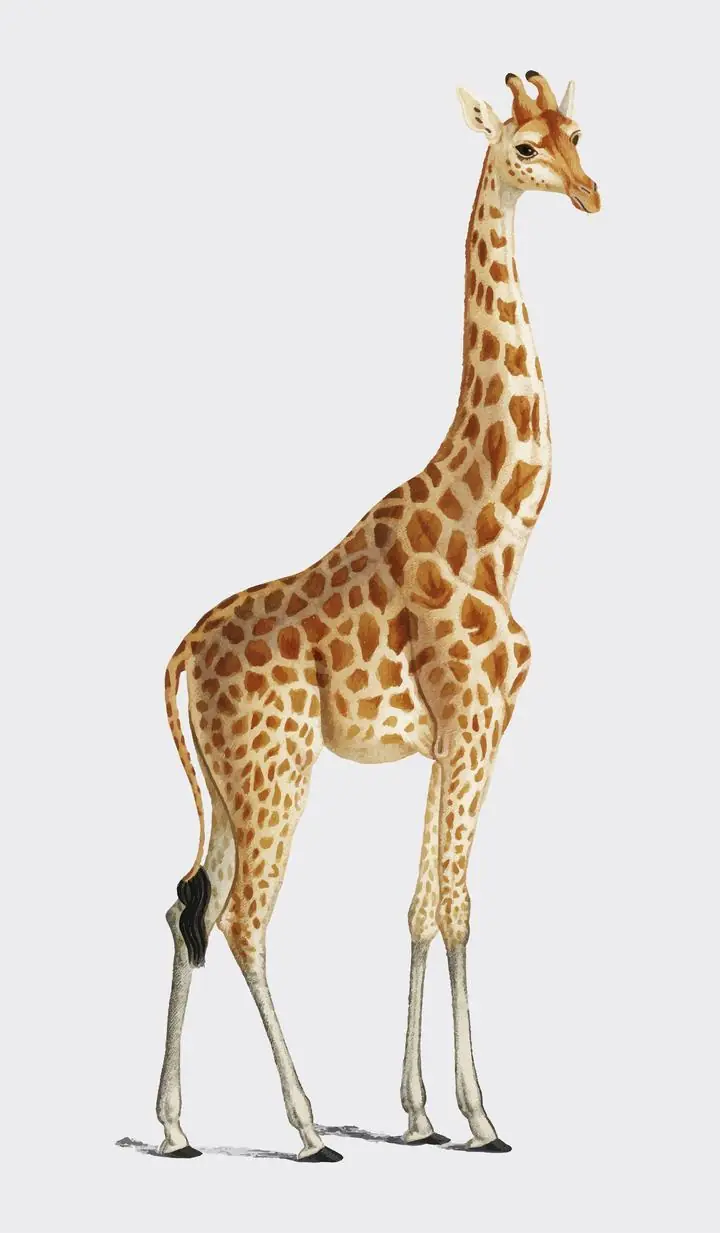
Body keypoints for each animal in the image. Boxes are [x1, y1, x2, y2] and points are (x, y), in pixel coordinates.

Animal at [155, 70, 600, 1162]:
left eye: (578, 134)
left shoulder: (451, 738)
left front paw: (421, 1113)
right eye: (524, 147)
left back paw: (176, 1126)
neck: (499, 530)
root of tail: (184, 649)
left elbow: (420, 907)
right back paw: (309, 1128)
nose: (589, 193)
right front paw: (482, 1117)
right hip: (276, 768)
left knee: (188, 902)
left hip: (231, 779)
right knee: (244, 919)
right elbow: (461, 907)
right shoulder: (476, 723)